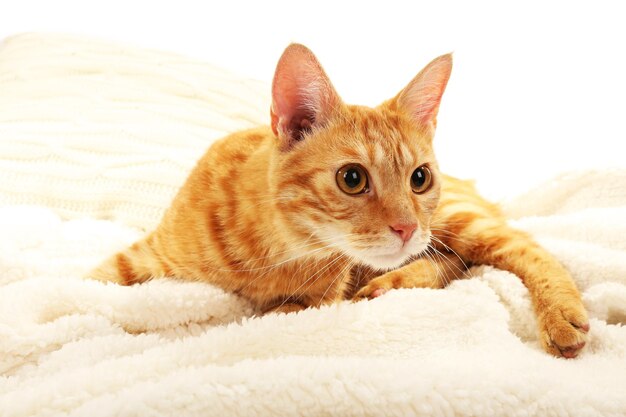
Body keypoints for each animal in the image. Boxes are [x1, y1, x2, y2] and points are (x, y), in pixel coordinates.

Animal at [90, 44, 588, 358]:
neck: (274, 252)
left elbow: (263, 317)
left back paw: (563, 316)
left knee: (523, 249)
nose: (407, 228)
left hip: (459, 221)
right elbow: (91, 285)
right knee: (457, 261)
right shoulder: (145, 256)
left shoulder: (315, 303)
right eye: (352, 178)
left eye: (419, 178)